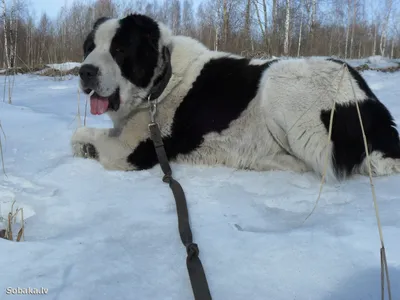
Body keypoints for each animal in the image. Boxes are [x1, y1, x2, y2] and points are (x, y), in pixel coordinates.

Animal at [71, 13, 400, 180]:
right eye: (89, 47)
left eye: (120, 49)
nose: (85, 72)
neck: (160, 84)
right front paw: (84, 147)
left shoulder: (129, 152)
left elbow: (81, 133)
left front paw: (86, 147)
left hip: (278, 82)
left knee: (320, 167)